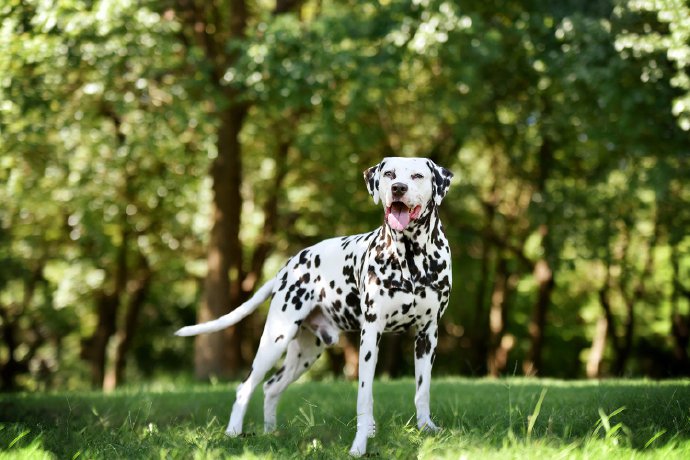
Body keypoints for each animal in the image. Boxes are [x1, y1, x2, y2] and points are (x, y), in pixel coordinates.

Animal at [176, 156, 452, 454]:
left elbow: (422, 391)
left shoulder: (427, 335)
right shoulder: (370, 335)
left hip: (305, 353)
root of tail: (288, 267)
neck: (412, 259)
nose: (398, 188)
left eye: (417, 176)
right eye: (389, 173)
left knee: (271, 387)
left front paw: (426, 429)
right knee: (246, 387)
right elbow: (364, 398)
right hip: (275, 340)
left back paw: (270, 433)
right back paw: (233, 432)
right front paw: (360, 444)